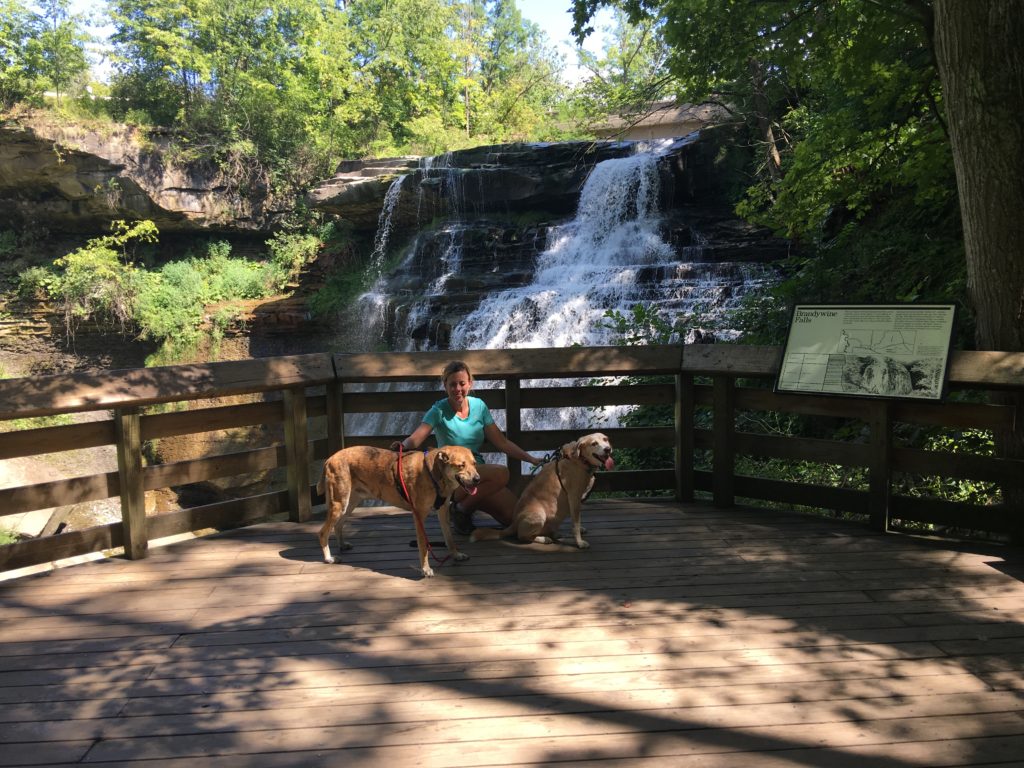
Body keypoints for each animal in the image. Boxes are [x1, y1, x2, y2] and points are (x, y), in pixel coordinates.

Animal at [315, 444, 479, 577]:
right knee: (323, 532)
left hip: (349, 504)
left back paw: (342, 545)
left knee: (338, 526)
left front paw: (456, 554)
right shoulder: (419, 515)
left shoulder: (443, 512)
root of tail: (330, 458)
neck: (434, 473)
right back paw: (329, 558)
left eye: (474, 463)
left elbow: (449, 538)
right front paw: (425, 569)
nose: (478, 479)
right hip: (339, 504)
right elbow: (423, 546)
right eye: (461, 465)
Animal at [473, 436, 614, 548]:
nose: (608, 449)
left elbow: (576, 520)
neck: (579, 459)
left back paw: (555, 534)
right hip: (539, 515)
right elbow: (575, 523)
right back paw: (545, 539)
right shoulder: (574, 497)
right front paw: (579, 542)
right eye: (594, 443)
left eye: (605, 439)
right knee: (522, 536)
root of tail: (513, 524)